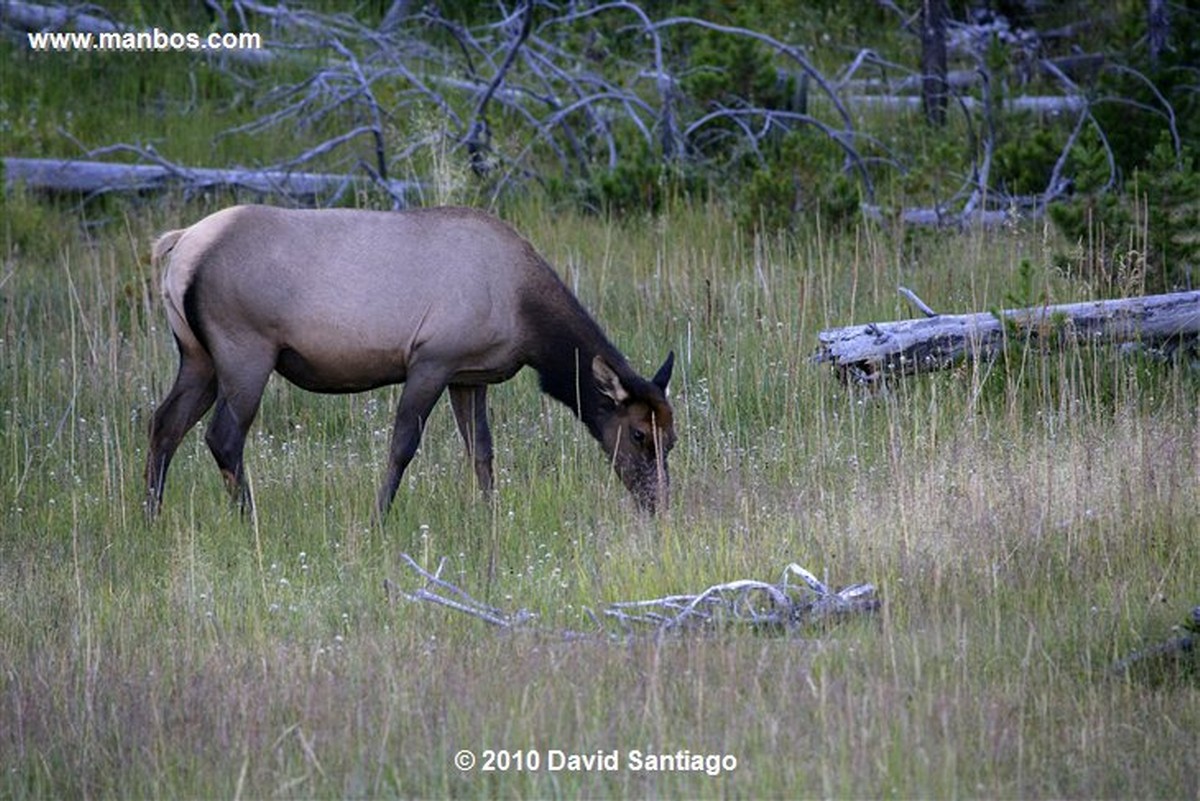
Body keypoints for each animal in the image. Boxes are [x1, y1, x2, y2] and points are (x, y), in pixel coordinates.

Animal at [145, 203, 676, 520]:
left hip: (198, 355)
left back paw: (150, 515)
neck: (526, 316)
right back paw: (249, 519)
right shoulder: (431, 359)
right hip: (244, 349)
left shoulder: (470, 375)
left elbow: (481, 452)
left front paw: (490, 515)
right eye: (637, 434)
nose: (658, 503)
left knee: (163, 423)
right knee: (222, 436)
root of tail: (180, 244)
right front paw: (379, 517)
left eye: (670, 439)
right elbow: (402, 445)